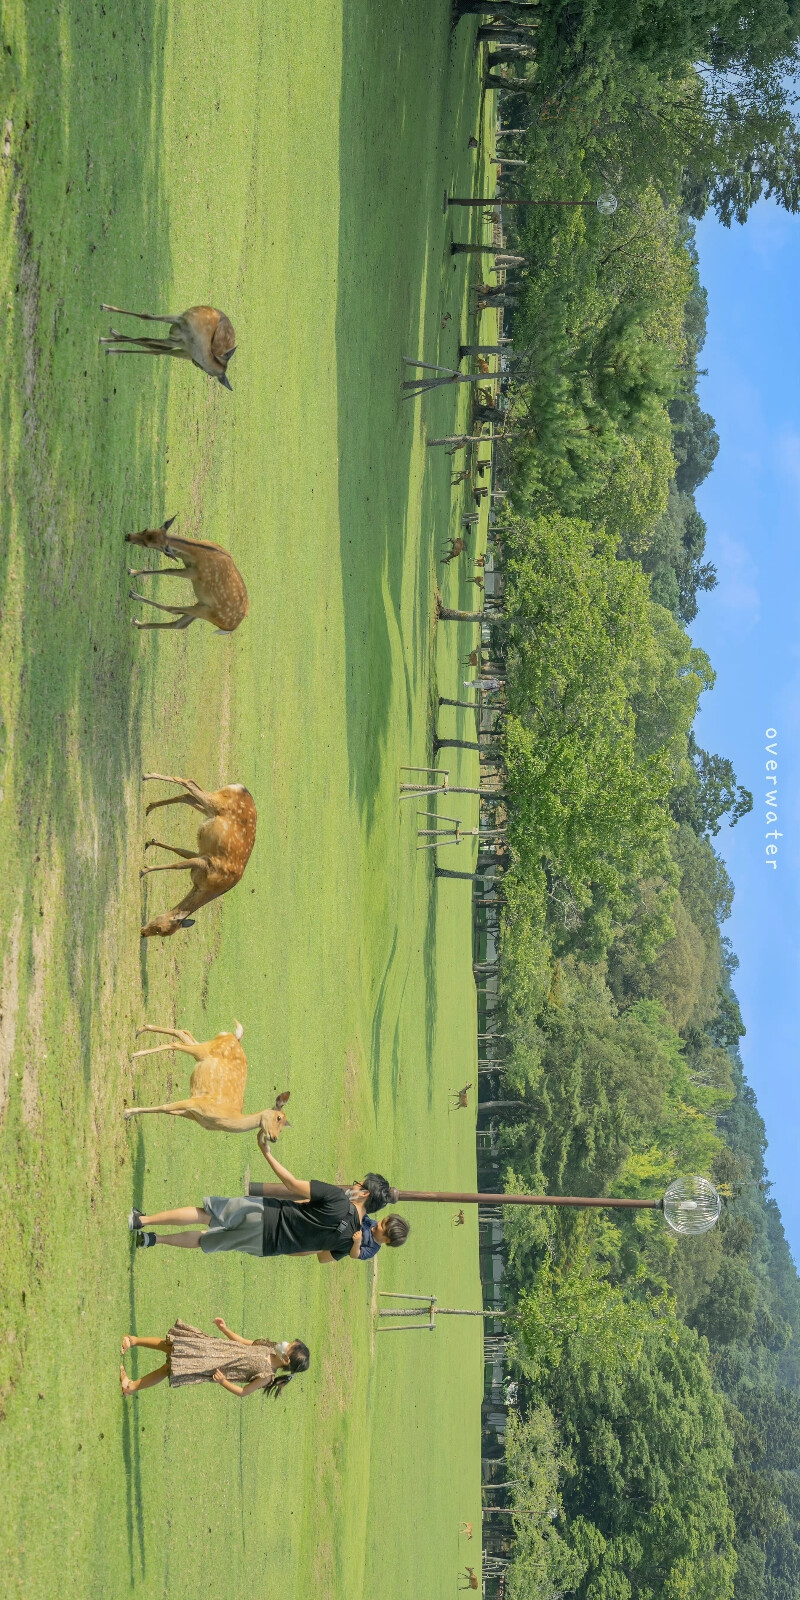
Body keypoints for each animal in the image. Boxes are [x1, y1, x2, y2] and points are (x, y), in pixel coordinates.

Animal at [98, 307, 235, 392]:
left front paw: (106, 342)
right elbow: (145, 317)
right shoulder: (180, 321)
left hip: (183, 351)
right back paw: (114, 334)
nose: (196, 363)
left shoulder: (182, 343)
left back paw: (114, 341)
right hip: (181, 346)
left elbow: (145, 338)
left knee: (158, 350)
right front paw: (106, 308)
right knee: (159, 348)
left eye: (211, 374)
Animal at [123, 1024, 289, 1139]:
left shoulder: (192, 1114)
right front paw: (127, 1112)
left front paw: (129, 1113)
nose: (274, 1138)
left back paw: (140, 1031)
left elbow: (167, 1110)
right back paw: (134, 1053)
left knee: (183, 1033)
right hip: (204, 1050)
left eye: (284, 1127)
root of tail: (233, 1036)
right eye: (278, 1118)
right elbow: (164, 1107)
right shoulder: (197, 1102)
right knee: (177, 1043)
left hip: (203, 1049)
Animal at [140, 774, 256, 934]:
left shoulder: (202, 857)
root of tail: (241, 787)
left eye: (160, 931)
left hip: (209, 809)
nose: (143, 932)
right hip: (216, 803)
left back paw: (150, 806)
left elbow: (179, 851)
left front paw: (150, 843)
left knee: (187, 796)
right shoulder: (207, 863)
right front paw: (144, 870)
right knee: (188, 782)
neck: (207, 886)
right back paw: (146, 776)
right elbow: (177, 865)